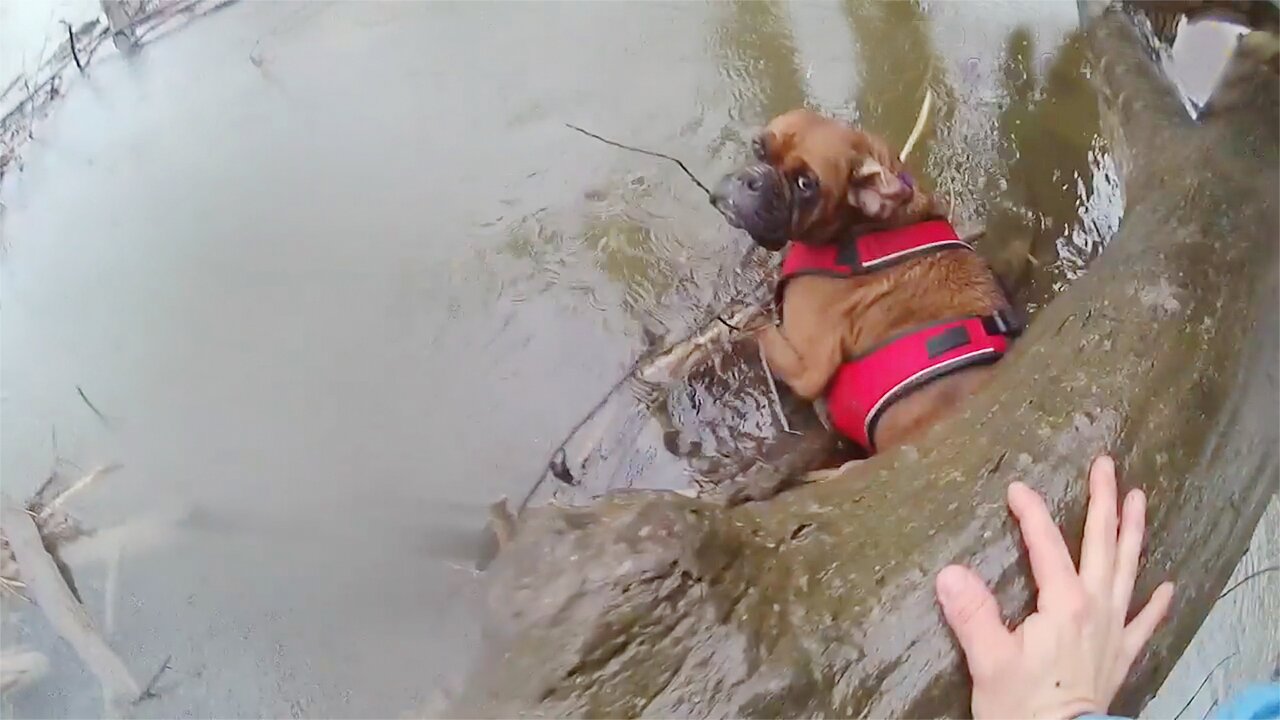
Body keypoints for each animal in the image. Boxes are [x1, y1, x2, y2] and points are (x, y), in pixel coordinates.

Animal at [711, 109, 1018, 450]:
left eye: (805, 184)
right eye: (759, 148)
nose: (753, 179)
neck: (860, 228)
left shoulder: (807, 368)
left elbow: (762, 333)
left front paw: (740, 327)